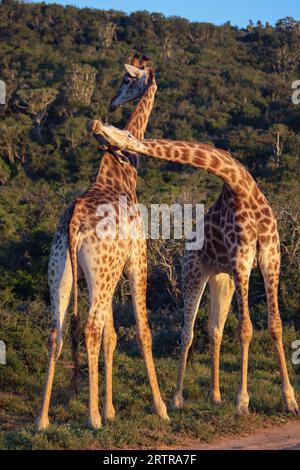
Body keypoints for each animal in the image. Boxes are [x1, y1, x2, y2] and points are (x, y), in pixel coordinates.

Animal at [35, 55, 169, 434]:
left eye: (125, 80)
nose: (112, 103)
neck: (121, 173)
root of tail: (75, 224)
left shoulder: (109, 272)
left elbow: (112, 337)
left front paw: (111, 409)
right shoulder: (136, 260)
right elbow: (142, 331)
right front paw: (161, 408)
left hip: (62, 272)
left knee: (57, 332)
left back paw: (42, 419)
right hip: (100, 272)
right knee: (91, 328)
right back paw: (91, 418)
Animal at [92, 120, 298, 414]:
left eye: (125, 133)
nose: (97, 127)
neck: (241, 185)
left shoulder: (270, 257)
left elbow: (275, 325)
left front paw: (290, 399)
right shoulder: (242, 261)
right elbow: (246, 328)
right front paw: (242, 401)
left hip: (222, 279)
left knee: (214, 329)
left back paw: (215, 395)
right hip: (192, 275)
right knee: (187, 333)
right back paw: (177, 398)